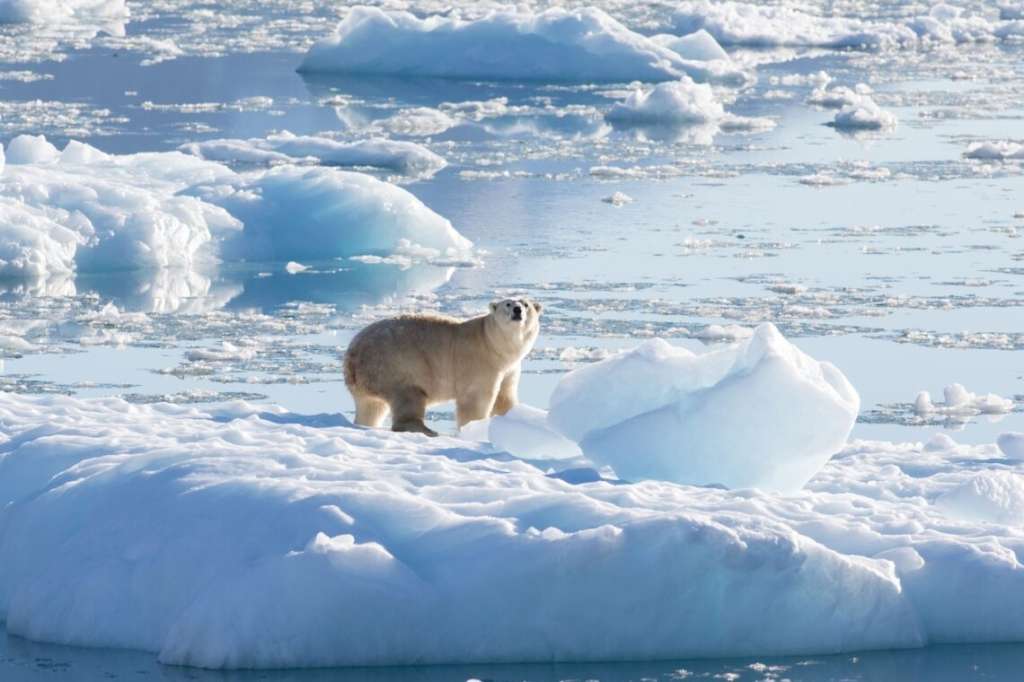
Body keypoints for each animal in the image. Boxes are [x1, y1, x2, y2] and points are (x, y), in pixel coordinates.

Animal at [343, 298, 542, 436]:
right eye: (507, 304)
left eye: (526, 304)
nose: (517, 310)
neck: (493, 343)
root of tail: (352, 355)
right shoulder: (479, 361)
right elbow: (475, 399)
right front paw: (475, 428)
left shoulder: (510, 368)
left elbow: (504, 398)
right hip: (395, 364)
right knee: (408, 395)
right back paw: (427, 430)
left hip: (369, 378)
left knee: (371, 407)